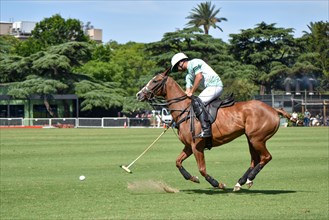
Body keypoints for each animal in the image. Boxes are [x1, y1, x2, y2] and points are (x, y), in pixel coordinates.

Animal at [135, 69, 294, 191]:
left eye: (155, 81)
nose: (139, 94)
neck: (184, 110)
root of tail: (273, 109)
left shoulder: (197, 146)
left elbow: (202, 169)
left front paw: (218, 184)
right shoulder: (189, 146)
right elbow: (178, 162)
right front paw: (193, 178)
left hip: (257, 138)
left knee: (266, 157)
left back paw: (249, 178)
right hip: (251, 139)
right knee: (255, 160)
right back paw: (241, 182)